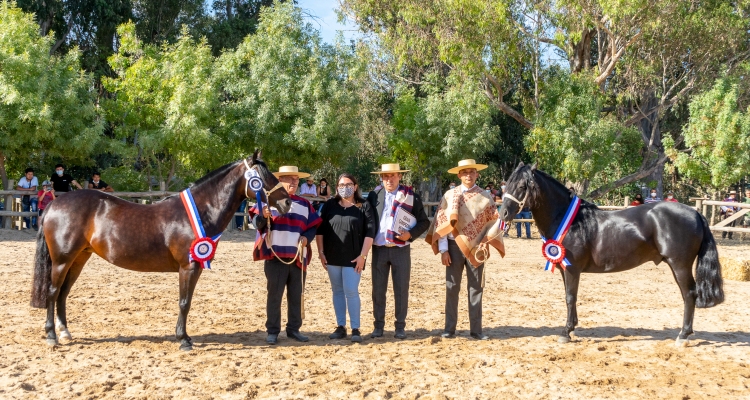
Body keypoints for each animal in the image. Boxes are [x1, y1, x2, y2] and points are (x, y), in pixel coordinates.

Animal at [28, 150, 290, 350]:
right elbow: (184, 302)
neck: (199, 211)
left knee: (63, 293)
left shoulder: (195, 268)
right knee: (52, 292)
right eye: (263, 176)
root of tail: (55, 203)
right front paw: (183, 340)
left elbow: (187, 301)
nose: (286, 202)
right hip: (62, 260)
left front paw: (185, 336)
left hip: (79, 259)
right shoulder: (188, 267)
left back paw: (64, 332)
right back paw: (52, 336)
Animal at [500, 164, 724, 346]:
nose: (503, 213)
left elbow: (570, 297)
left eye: (522, 186)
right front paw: (573, 328)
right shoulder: (565, 269)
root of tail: (695, 212)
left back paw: (683, 335)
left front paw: (565, 332)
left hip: (680, 265)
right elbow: (569, 296)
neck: (571, 221)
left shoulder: (572, 268)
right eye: (507, 185)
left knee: (689, 294)